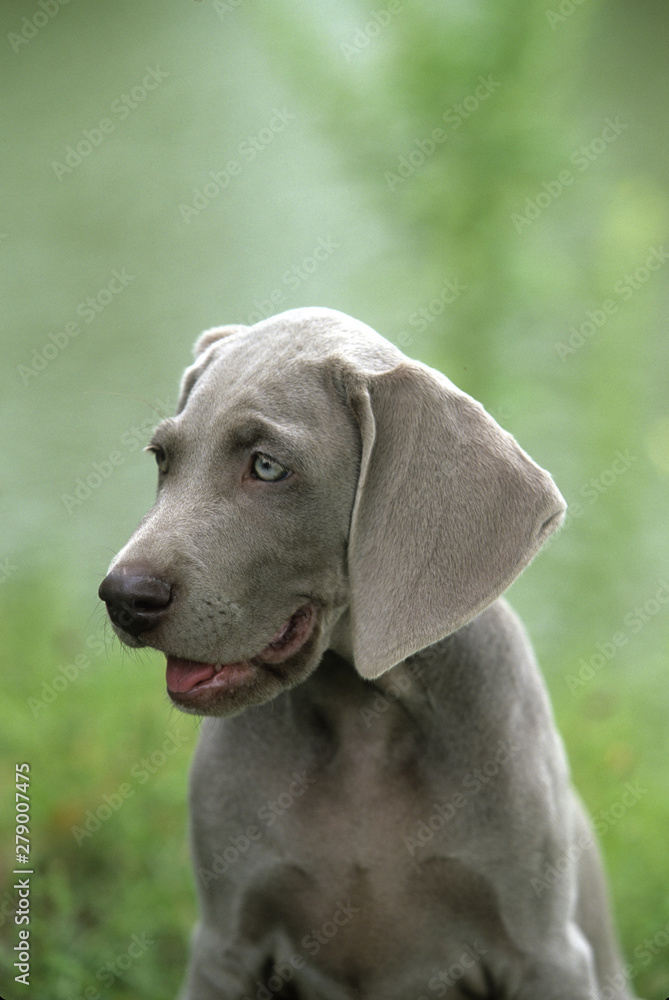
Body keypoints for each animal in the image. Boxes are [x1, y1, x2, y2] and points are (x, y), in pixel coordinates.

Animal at [99, 308, 636, 996]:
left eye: (267, 466)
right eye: (163, 459)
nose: (122, 596)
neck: (363, 721)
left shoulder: (546, 952)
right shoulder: (225, 945)